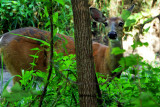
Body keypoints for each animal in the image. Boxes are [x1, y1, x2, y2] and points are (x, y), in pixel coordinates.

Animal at [0, 5, 134, 84]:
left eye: (121, 23)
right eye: (105, 23)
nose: (112, 34)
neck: (108, 65)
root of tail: (3, 37)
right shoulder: (100, 78)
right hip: (21, 69)